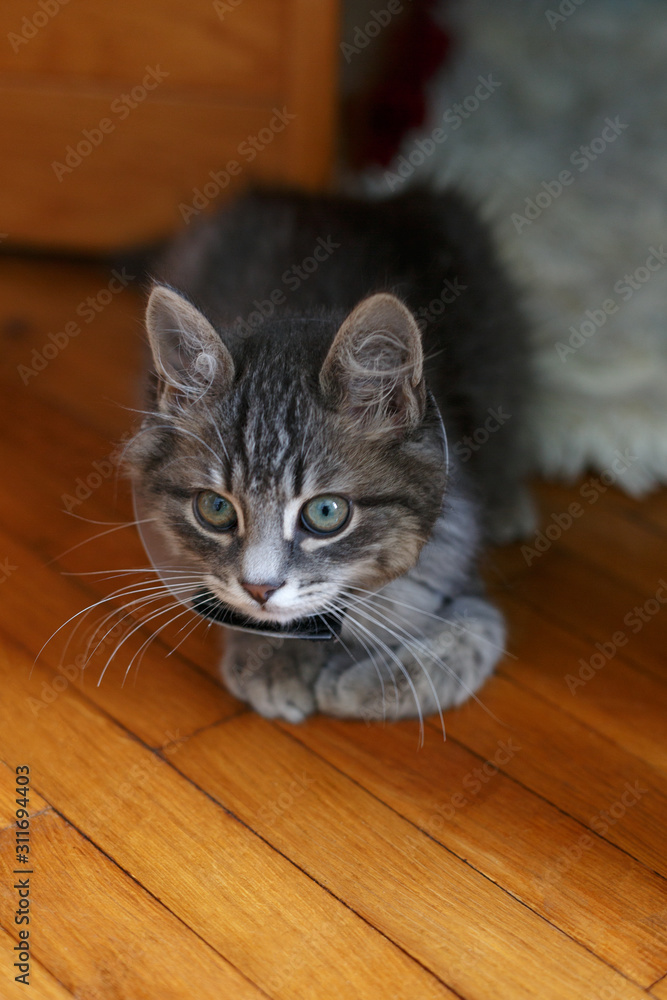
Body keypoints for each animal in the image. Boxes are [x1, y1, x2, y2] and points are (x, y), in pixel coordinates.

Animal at [124, 189, 532, 728]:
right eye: (215, 508)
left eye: (325, 512)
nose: (259, 588)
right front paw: (274, 659)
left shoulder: (454, 569)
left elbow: (468, 637)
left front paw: (363, 684)